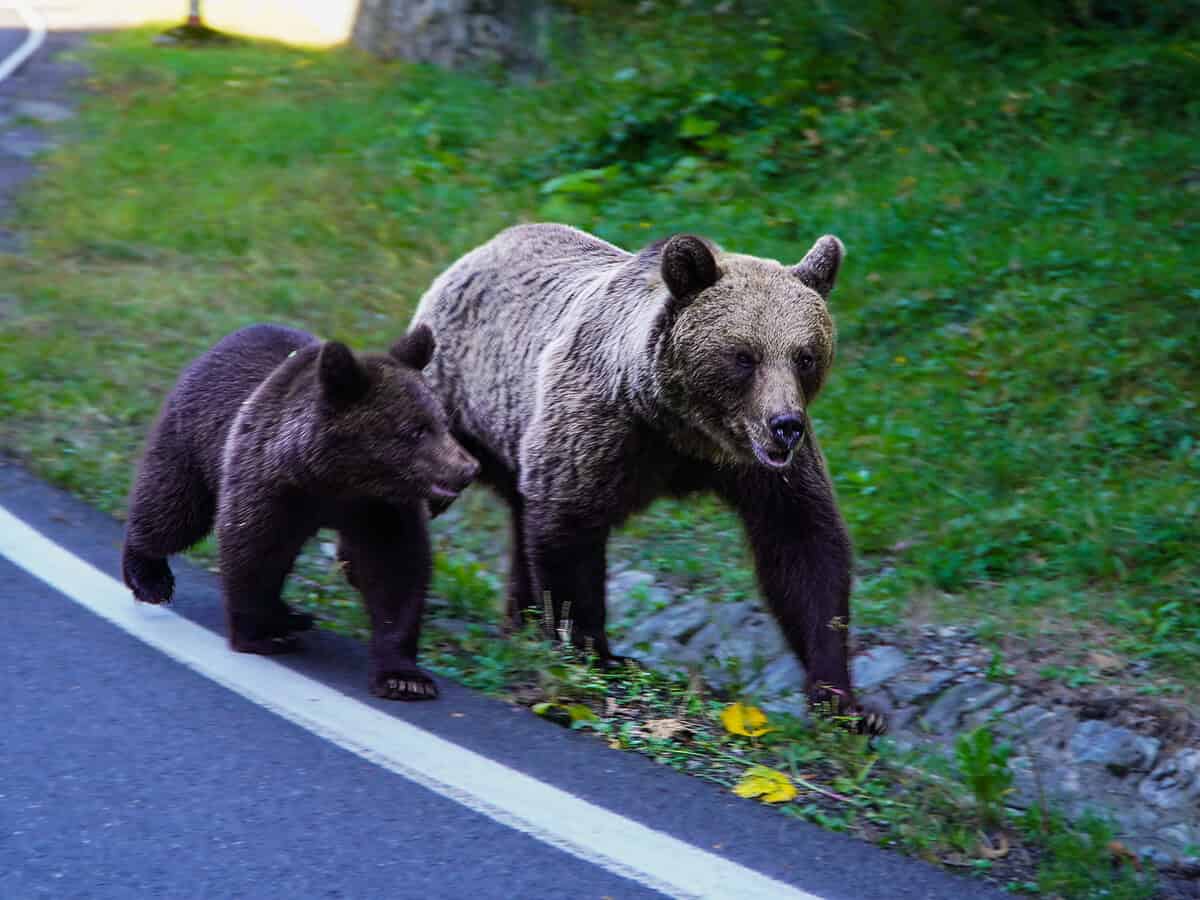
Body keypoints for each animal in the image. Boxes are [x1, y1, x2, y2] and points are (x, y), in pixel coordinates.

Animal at [412, 224, 883, 734]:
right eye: (744, 356)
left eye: (805, 356)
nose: (784, 425)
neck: (683, 429)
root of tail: (483, 248)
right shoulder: (601, 431)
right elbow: (569, 530)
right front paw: (595, 651)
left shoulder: (760, 468)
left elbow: (804, 548)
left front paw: (843, 702)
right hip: (456, 400)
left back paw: (519, 620)